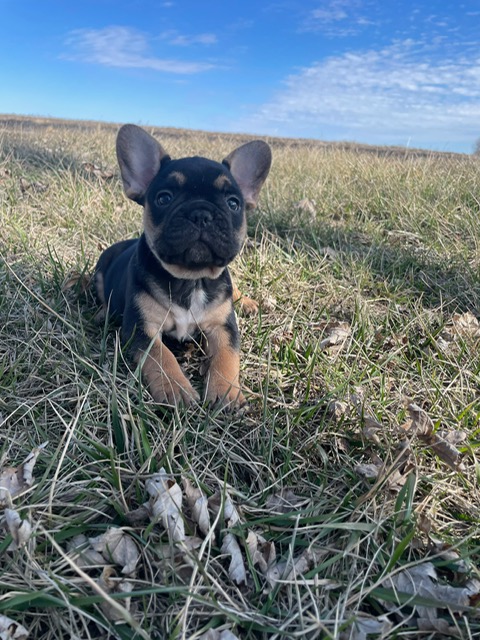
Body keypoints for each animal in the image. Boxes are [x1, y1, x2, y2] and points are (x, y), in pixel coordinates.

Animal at [95, 124, 271, 408]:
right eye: (164, 198)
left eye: (233, 203)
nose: (201, 214)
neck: (192, 279)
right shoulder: (143, 328)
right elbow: (160, 356)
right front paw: (175, 388)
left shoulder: (224, 327)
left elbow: (227, 356)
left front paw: (226, 393)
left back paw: (246, 301)